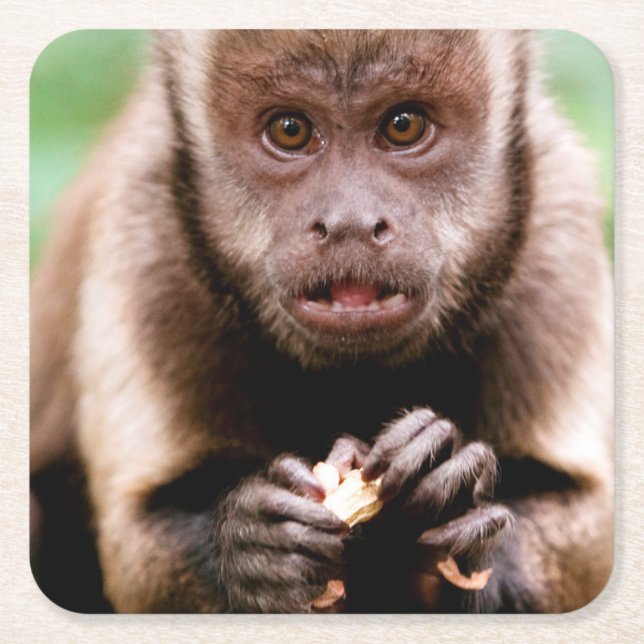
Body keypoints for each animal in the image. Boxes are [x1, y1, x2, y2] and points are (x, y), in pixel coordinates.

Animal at [30, 30, 613, 614]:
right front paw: (253, 549)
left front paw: (451, 507)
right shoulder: (147, 228)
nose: (350, 222)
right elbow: (136, 545)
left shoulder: (555, 225)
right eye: (290, 130)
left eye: (403, 125)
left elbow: (590, 528)